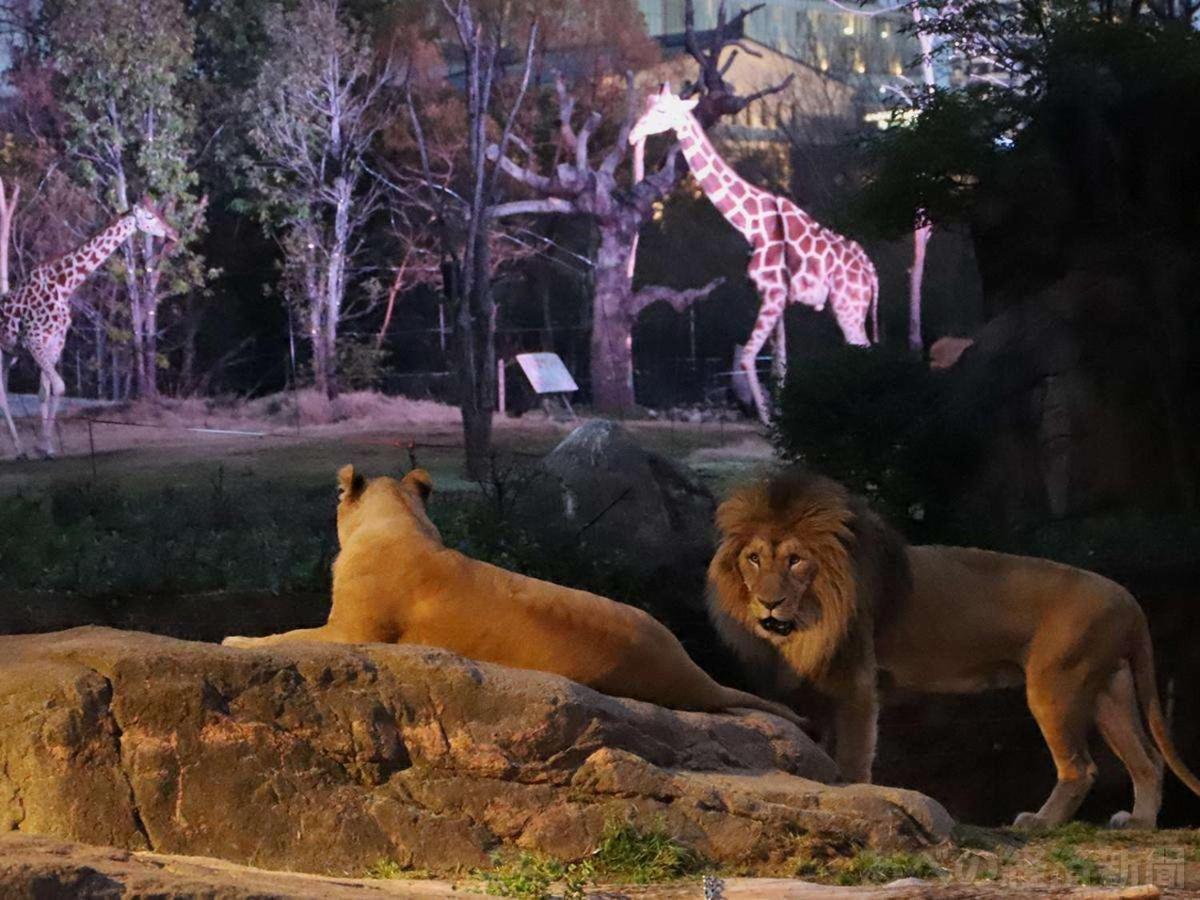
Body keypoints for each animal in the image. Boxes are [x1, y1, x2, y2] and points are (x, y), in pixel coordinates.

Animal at [0, 198, 176, 458]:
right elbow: (59, 386)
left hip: (7, 353)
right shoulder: (33, 340)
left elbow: (47, 391)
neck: (64, 285)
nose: (173, 233)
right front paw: (43, 446)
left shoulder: (55, 342)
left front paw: (45, 447)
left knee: (2, 392)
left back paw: (20, 449)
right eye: (150, 217)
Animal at [628, 84, 883, 422]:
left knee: (862, 347)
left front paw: (767, 419)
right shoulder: (777, 298)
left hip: (848, 305)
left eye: (661, 111)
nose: (633, 136)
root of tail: (871, 272)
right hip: (848, 306)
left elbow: (749, 356)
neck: (752, 224)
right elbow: (779, 363)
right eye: (646, 104)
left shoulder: (772, 294)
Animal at [705, 472, 1200, 830]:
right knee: (1148, 760)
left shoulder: (858, 683)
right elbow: (825, 747)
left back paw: (1040, 824)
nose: (768, 603)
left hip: (1055, 684)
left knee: (1082, 767)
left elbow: (852, 754)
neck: (812, 614)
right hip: (1108, 690)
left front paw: (853, 795)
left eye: (795, 560)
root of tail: (1129, 599)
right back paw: (1139, 823)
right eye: (753, 559)